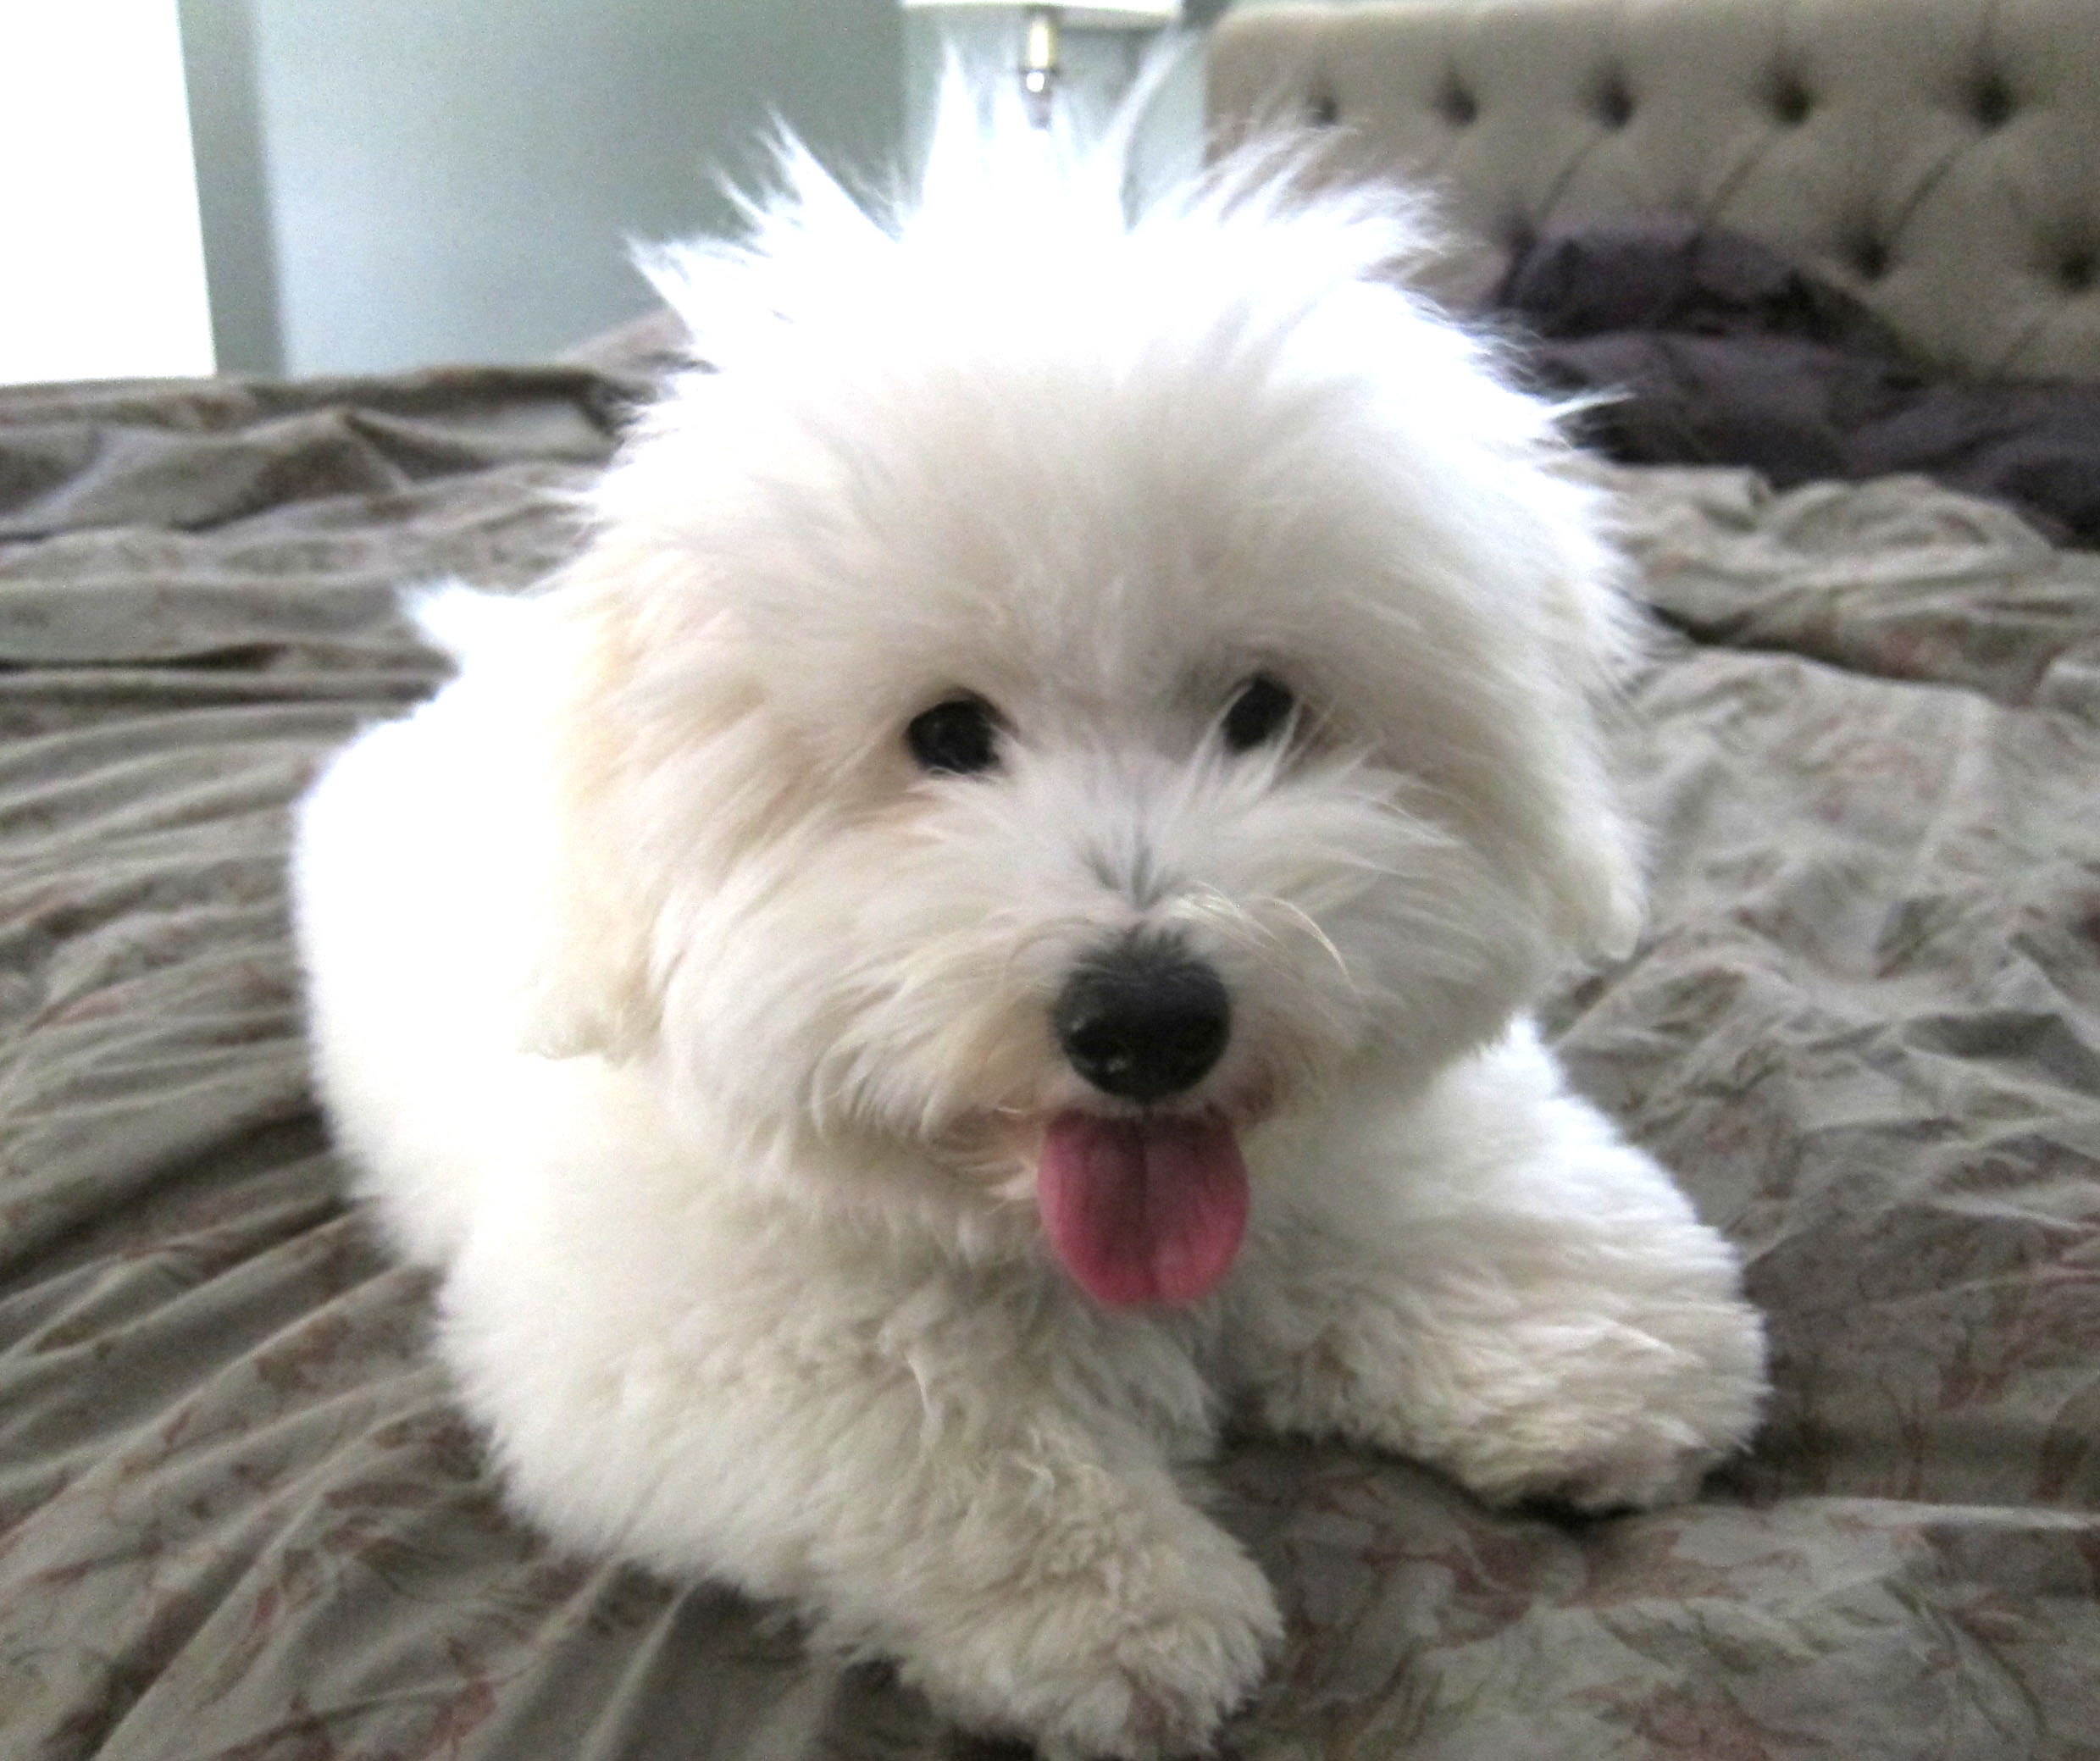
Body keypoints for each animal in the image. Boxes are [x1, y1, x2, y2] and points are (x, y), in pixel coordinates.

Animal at [296, 79, 1772, 1761]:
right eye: (944, 735)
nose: (1146, 1018)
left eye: (1259, 711)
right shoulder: (678, 1340)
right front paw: (1122, 1608)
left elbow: (1463, 1211)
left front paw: (1600, 1364)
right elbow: (932, 1430)